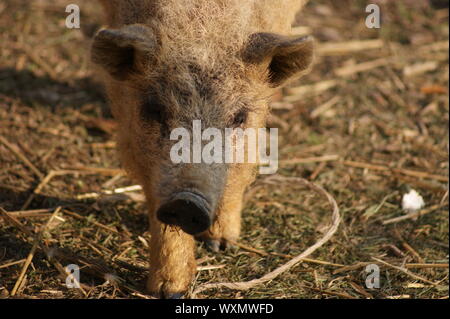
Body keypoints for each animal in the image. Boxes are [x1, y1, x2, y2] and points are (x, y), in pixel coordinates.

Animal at [92, 0, 312, 300]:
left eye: (238, 117)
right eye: (155, 110)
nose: (187, 201)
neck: (202, 25)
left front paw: (222, 245)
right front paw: (169, 291)